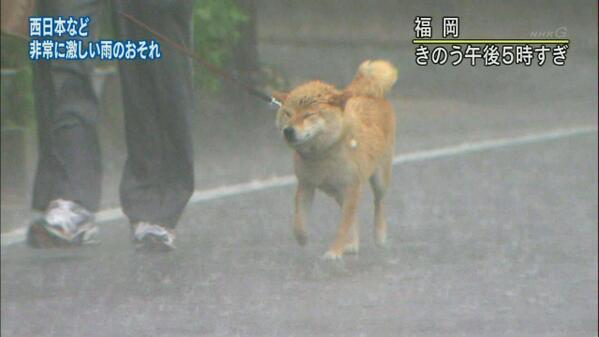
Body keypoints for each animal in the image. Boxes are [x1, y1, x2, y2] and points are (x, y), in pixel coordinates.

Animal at [276, 59, 398, 258]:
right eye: (288, 113)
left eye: (309, 114)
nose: (288, 131)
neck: (322, 154)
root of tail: (367, 94)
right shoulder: (306, 185)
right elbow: (299, 219)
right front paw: (302, 237)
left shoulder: (351, 187)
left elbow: (343, 227)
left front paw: (334, 253)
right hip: (338, 193)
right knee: (354, 216)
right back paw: (352, 244)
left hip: (378, 179)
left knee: (378, 203)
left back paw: (379, 235)